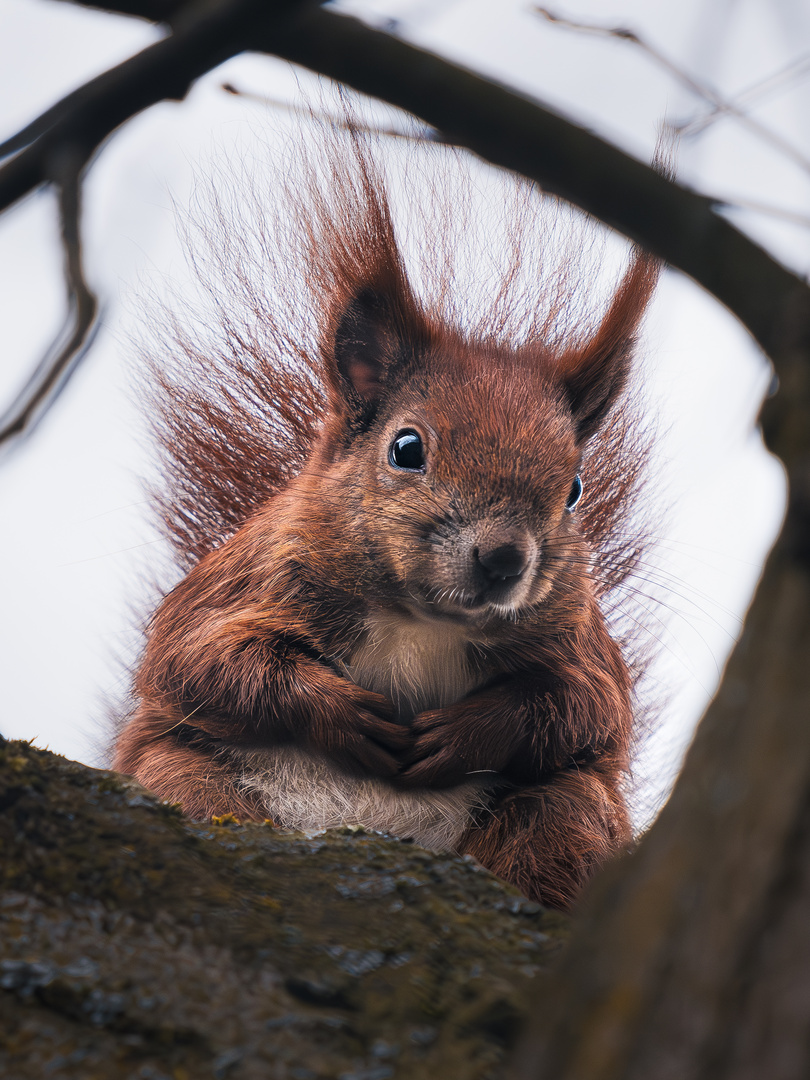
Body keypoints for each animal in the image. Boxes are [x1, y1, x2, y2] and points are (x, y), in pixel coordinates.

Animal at [112, 120, 660, 911]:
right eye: (406, 448)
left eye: (576, 489)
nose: (504, 559)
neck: (420, 620)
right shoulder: (246, 581)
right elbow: (200, 659)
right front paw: (336, 711)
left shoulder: (577, 639)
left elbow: (588, 707)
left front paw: (467, 734)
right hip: (179, 777)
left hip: (564, 813)